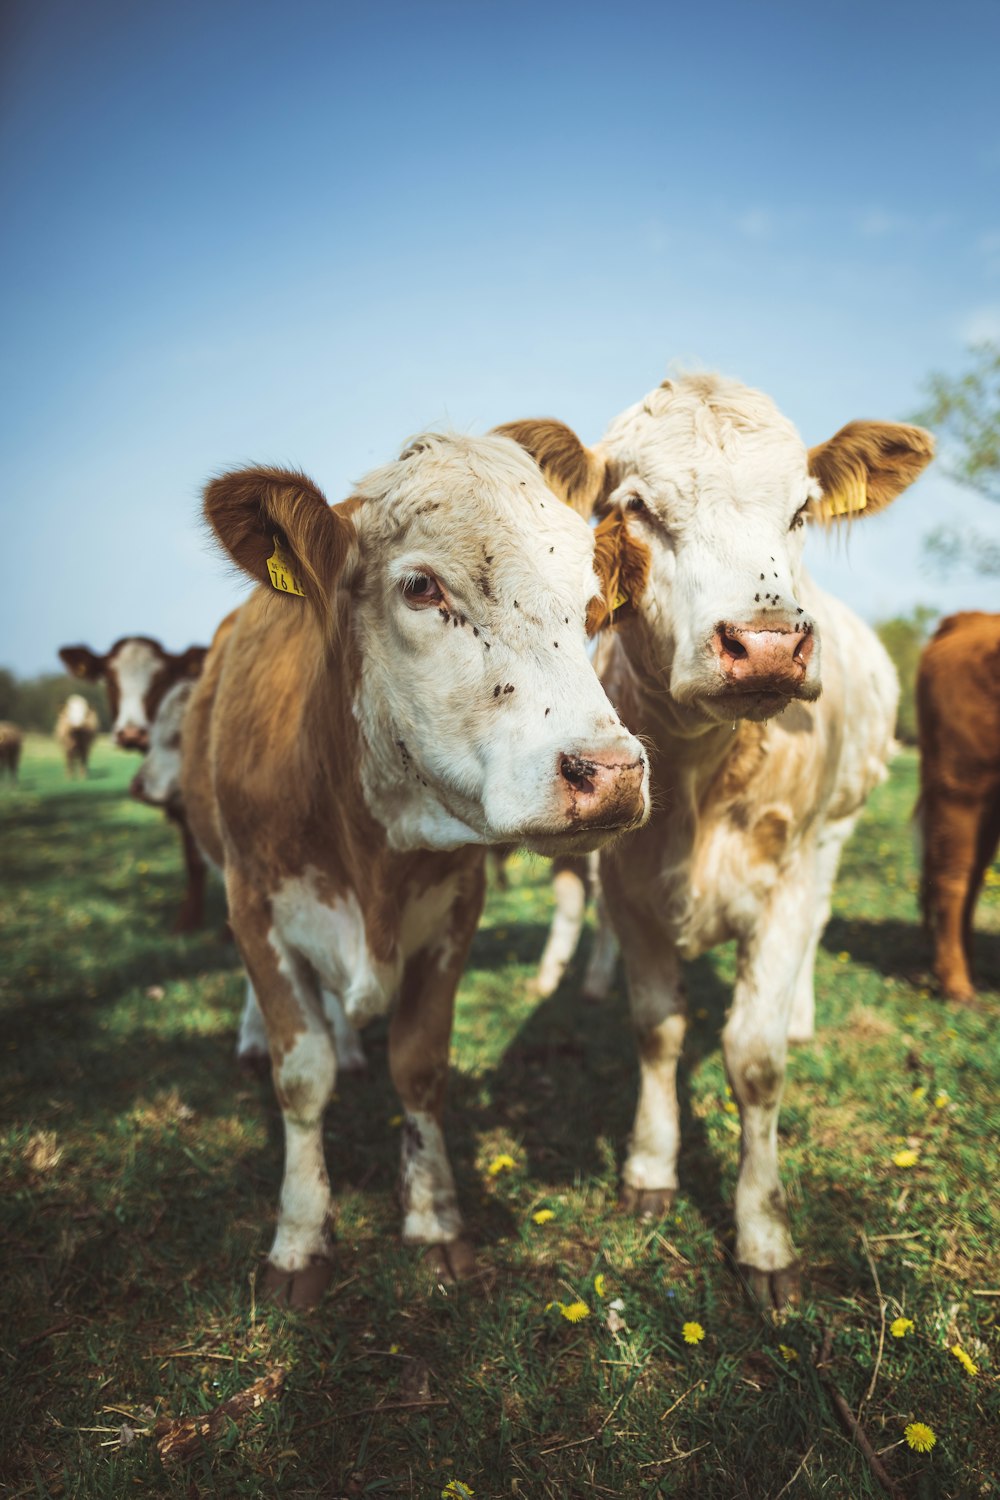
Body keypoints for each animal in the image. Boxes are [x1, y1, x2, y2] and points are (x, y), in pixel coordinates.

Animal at [183, 432, 653, 1302]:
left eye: (590, 608)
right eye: (421, 586)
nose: (609, 771)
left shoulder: (452, 914)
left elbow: (420, 1065)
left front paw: (434, 1216)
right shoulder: (256, 904)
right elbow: (302, 1074)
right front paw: (299, 1237)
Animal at [503, 378, 935, 1314]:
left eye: (801, 510)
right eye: (636, 507)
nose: (769, 645)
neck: (701, 778)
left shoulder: (786, 883)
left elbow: (755, 1059)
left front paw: (763, 1236)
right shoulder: (627, 887)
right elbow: (657, 1030)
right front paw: (650, 1168)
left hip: (836, 834)